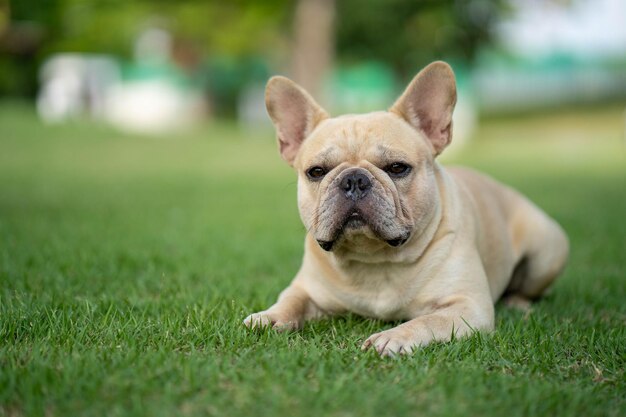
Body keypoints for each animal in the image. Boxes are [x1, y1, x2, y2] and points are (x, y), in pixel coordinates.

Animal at [241, 61, 568, 354]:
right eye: (316, 172)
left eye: (397, 168)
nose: (354, 179)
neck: (375, 262)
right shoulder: (305, 289)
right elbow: (290, 300)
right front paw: (268, 317)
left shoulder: (467, 306)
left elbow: (428, 321)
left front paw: (392, 338)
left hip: (547, 251)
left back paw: (519, 303)